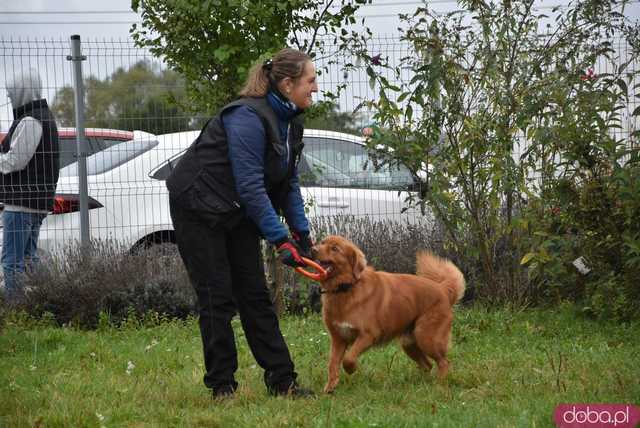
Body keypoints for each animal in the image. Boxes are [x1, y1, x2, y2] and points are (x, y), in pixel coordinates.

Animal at [314, 236, 464, 392]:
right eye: (322, 242)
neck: (346, 288)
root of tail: (443, 289)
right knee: (428, 365)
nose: (313, 249)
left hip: (426, 337)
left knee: (444, 362)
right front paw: (329, 388)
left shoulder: (368, 335)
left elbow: (348, 359)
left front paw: (351, 369)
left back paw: (439, 385)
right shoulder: (338, 339)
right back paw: (421, 385)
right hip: (409, 343)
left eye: (335, 248)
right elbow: (332, 364)